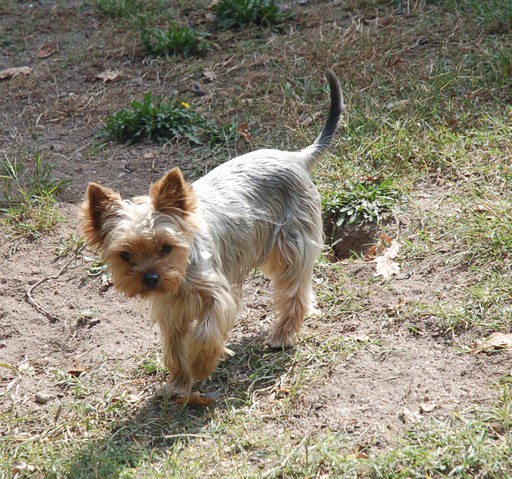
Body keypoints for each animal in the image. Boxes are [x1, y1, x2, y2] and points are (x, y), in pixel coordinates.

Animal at [80, 70, 344, 397]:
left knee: (296, 291)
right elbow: (173, 347)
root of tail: (296, 157)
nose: (151, 279)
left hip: (292, 243)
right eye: (126, 255)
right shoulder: (171, 308)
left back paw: (281, 336)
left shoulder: (217, 293)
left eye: (166, 247)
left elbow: (206, 333)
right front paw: (179, 384)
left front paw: (201, 365)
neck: (180, 275)